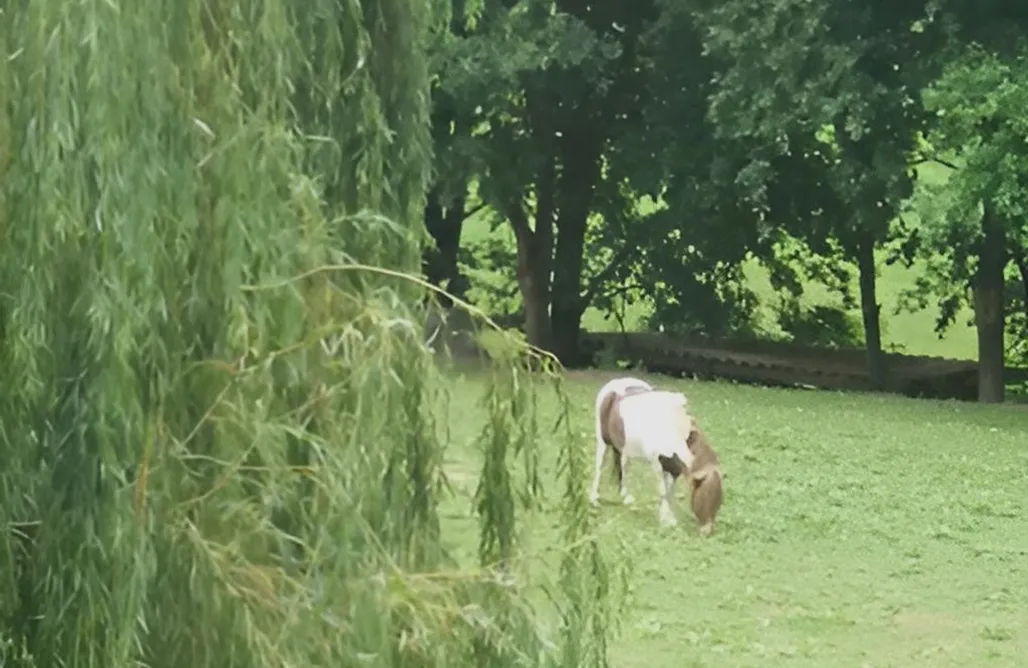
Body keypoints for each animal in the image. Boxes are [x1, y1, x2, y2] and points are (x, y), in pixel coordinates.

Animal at [592, 374, 694, 526]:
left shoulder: (674, 468)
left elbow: (669, 491)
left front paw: (669, 518)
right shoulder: (658, 464)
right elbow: (663, 490)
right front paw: (665, 521)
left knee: (623, 466)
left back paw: (626, 496)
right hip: (603, 441)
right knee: (600, 466)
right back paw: (594, 498)